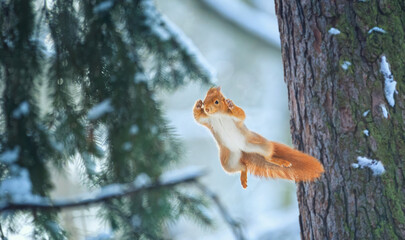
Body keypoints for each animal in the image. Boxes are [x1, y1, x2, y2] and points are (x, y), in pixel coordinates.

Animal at [194, 87, 324, 188]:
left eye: (216, 102)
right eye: (205, 100)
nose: (206, 108)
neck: (218, 115)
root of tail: (243, 152)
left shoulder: (234, 118)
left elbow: (241, 113)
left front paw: (231, 104)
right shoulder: (207, 120)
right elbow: (197, 117)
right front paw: (198, 104)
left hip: (259, 144)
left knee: (268, 157)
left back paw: (279, 161)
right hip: (228, 160)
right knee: (243, 167)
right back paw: (243, 177)